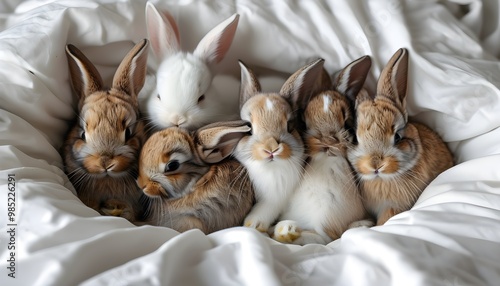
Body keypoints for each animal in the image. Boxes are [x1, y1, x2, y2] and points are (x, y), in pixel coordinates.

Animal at [234, 57, 324, 232]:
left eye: (290, 126)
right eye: (248, 127)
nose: (271, 149)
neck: (270, 169)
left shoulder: (278, 198)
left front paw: (254, 224)